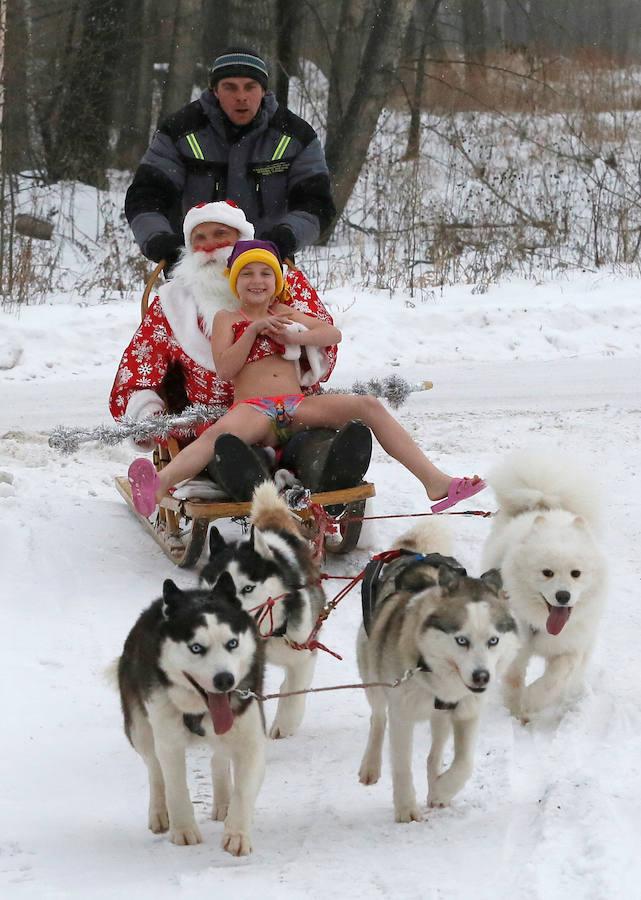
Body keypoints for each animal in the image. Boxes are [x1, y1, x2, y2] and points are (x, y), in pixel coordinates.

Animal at [482, 450, 608, 724]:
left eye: (576, 573)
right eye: (547, 573)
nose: (563, 596)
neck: (542, 623)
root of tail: (544, 503)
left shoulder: (571, 646)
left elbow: (556, 678)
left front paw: (532, 701)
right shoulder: (517, 644)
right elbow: (514, 678)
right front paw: (516, 712)